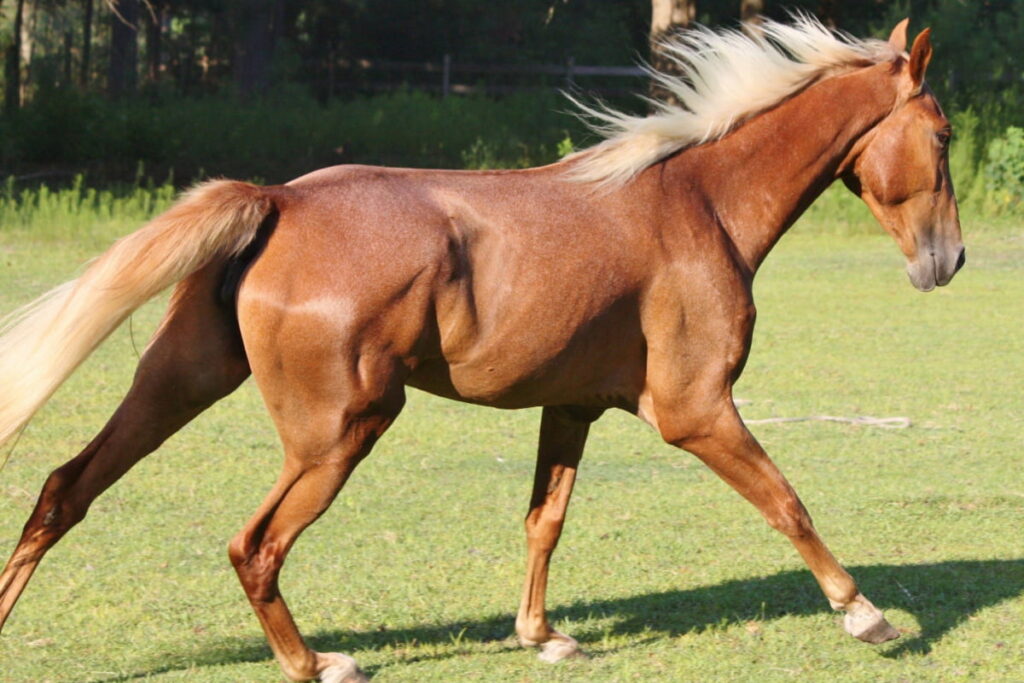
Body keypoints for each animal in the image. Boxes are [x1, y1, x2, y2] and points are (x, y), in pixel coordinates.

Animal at [0, 15, 958, 683]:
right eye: (944, 134)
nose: (945, 262)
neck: (699, 202)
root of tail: (277, 200)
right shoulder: (695, 409)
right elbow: (788, 501)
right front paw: (866, 615)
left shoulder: (572, 405)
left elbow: (545, 519)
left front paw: (544, 636)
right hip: (339, 430)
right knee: (254, 545)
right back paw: (316, 663)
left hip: (181, 381)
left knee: (63, 490)